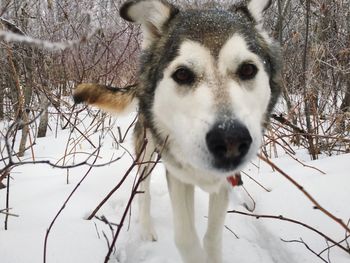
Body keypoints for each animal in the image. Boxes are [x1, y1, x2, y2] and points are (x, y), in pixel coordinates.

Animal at [74, 0, 282, 262]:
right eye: (182, 74)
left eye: (247, 69)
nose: (231, 140)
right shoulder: (178, 175)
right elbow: (186, 239)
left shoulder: (223, 184)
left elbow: (212, 238)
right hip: (147, 149)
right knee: (143, 189)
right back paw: (146, 227)